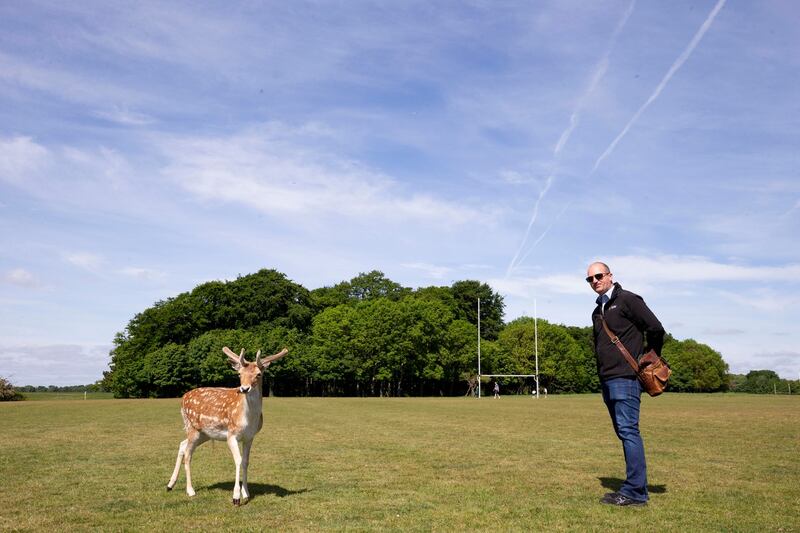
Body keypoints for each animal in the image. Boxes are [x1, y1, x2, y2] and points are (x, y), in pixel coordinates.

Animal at [167, 346, 288, 505]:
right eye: (239, 373)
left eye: (259, 374)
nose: (244, 389)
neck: (248, 419)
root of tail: (183, 398)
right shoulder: (231, 435)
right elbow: (238, 460)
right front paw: (236, 497)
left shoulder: (250, 437)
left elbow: (246, 462)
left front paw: (246, 493)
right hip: (192, 427)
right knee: (188, 454)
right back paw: (190, 490)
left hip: (204, 434)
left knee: (182, 444)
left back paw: (170, 485)